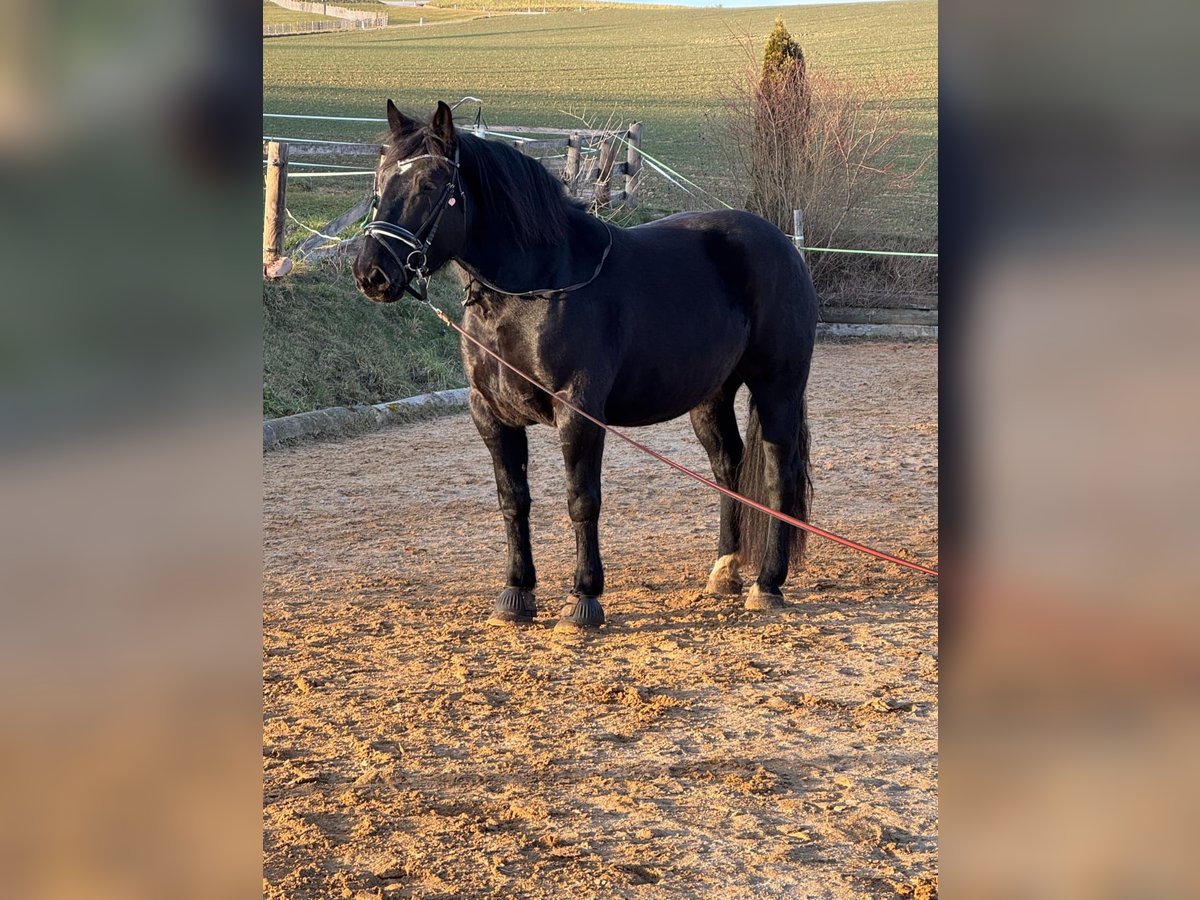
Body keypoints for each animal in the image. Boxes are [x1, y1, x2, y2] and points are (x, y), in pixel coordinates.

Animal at [350, 100, 816, 633]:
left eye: (430, 184)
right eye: (381, 178)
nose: (371, 273)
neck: (535, 288)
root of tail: (783, 244)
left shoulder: (578, 413)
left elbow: (582, 500)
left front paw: (585, 599)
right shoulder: (491, 415)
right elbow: (513, 499)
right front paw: (516, 593)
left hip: (777, 389)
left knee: (779, 474)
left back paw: (768, 584)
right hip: (710, 398)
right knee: (729, 469)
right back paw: (725, 572)